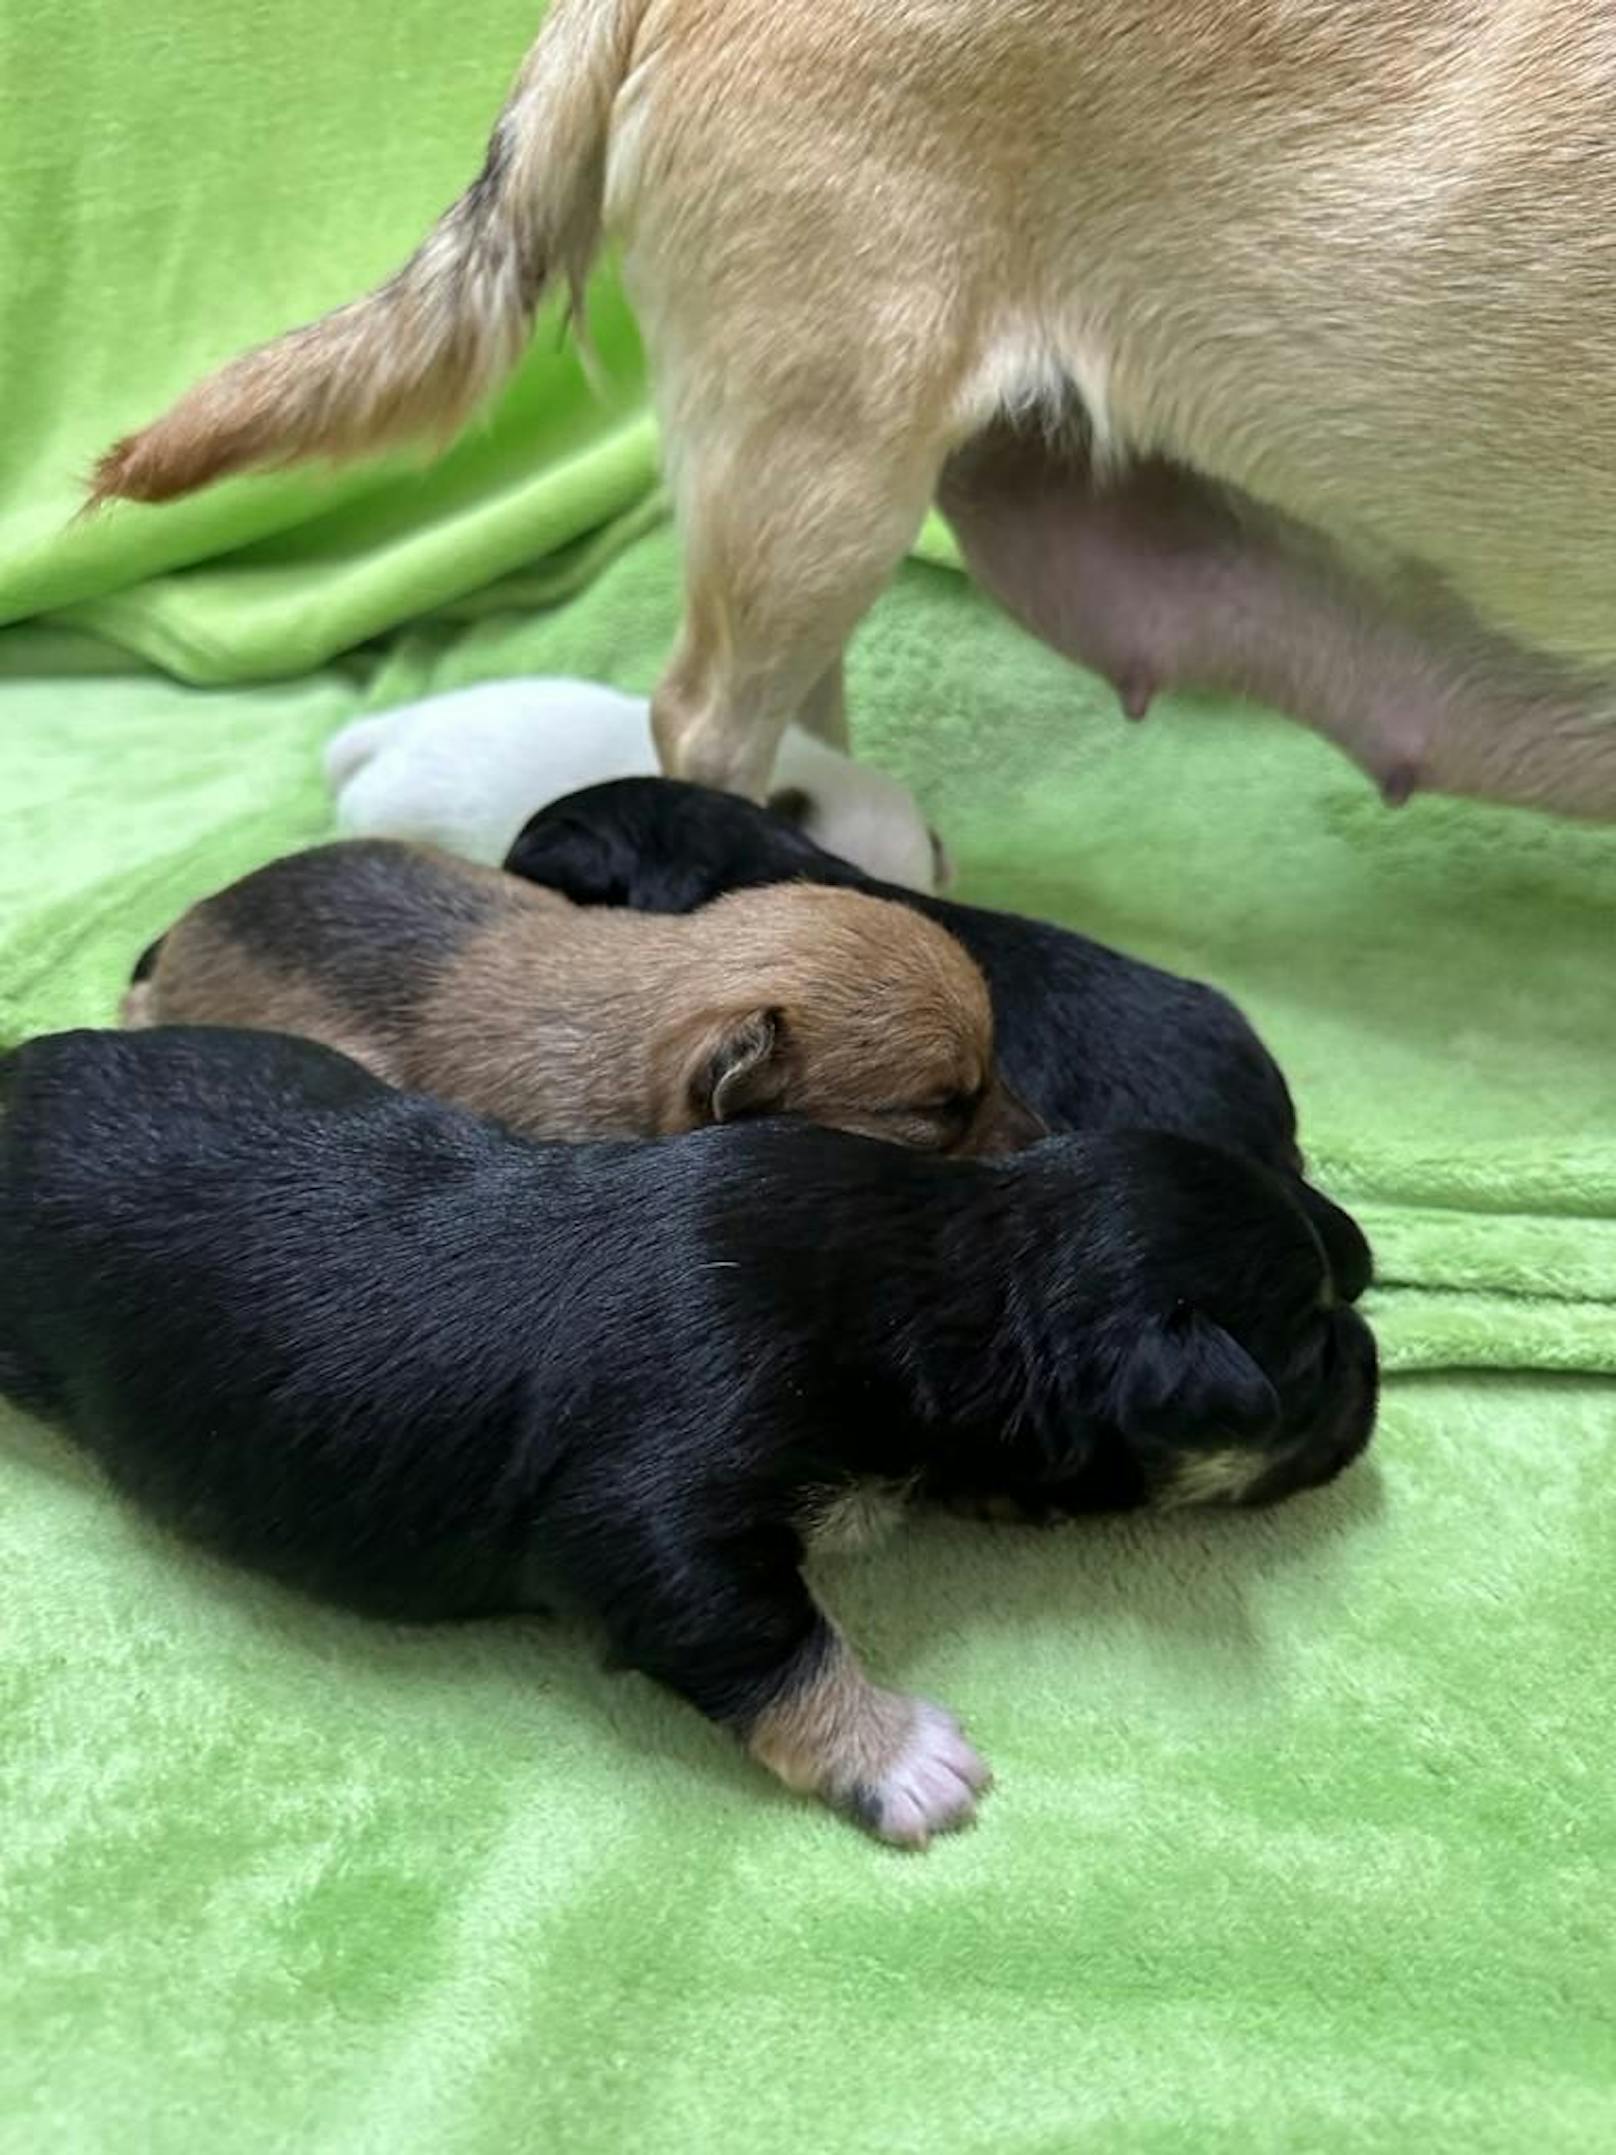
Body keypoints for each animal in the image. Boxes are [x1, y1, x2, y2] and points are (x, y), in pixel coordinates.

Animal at [6, 1034, 1387, 1844]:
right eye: (1316, 1344)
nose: (1374, 1340)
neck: (955, 1267)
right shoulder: (652, 1515)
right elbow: (775, 1634)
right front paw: (897, 1754)